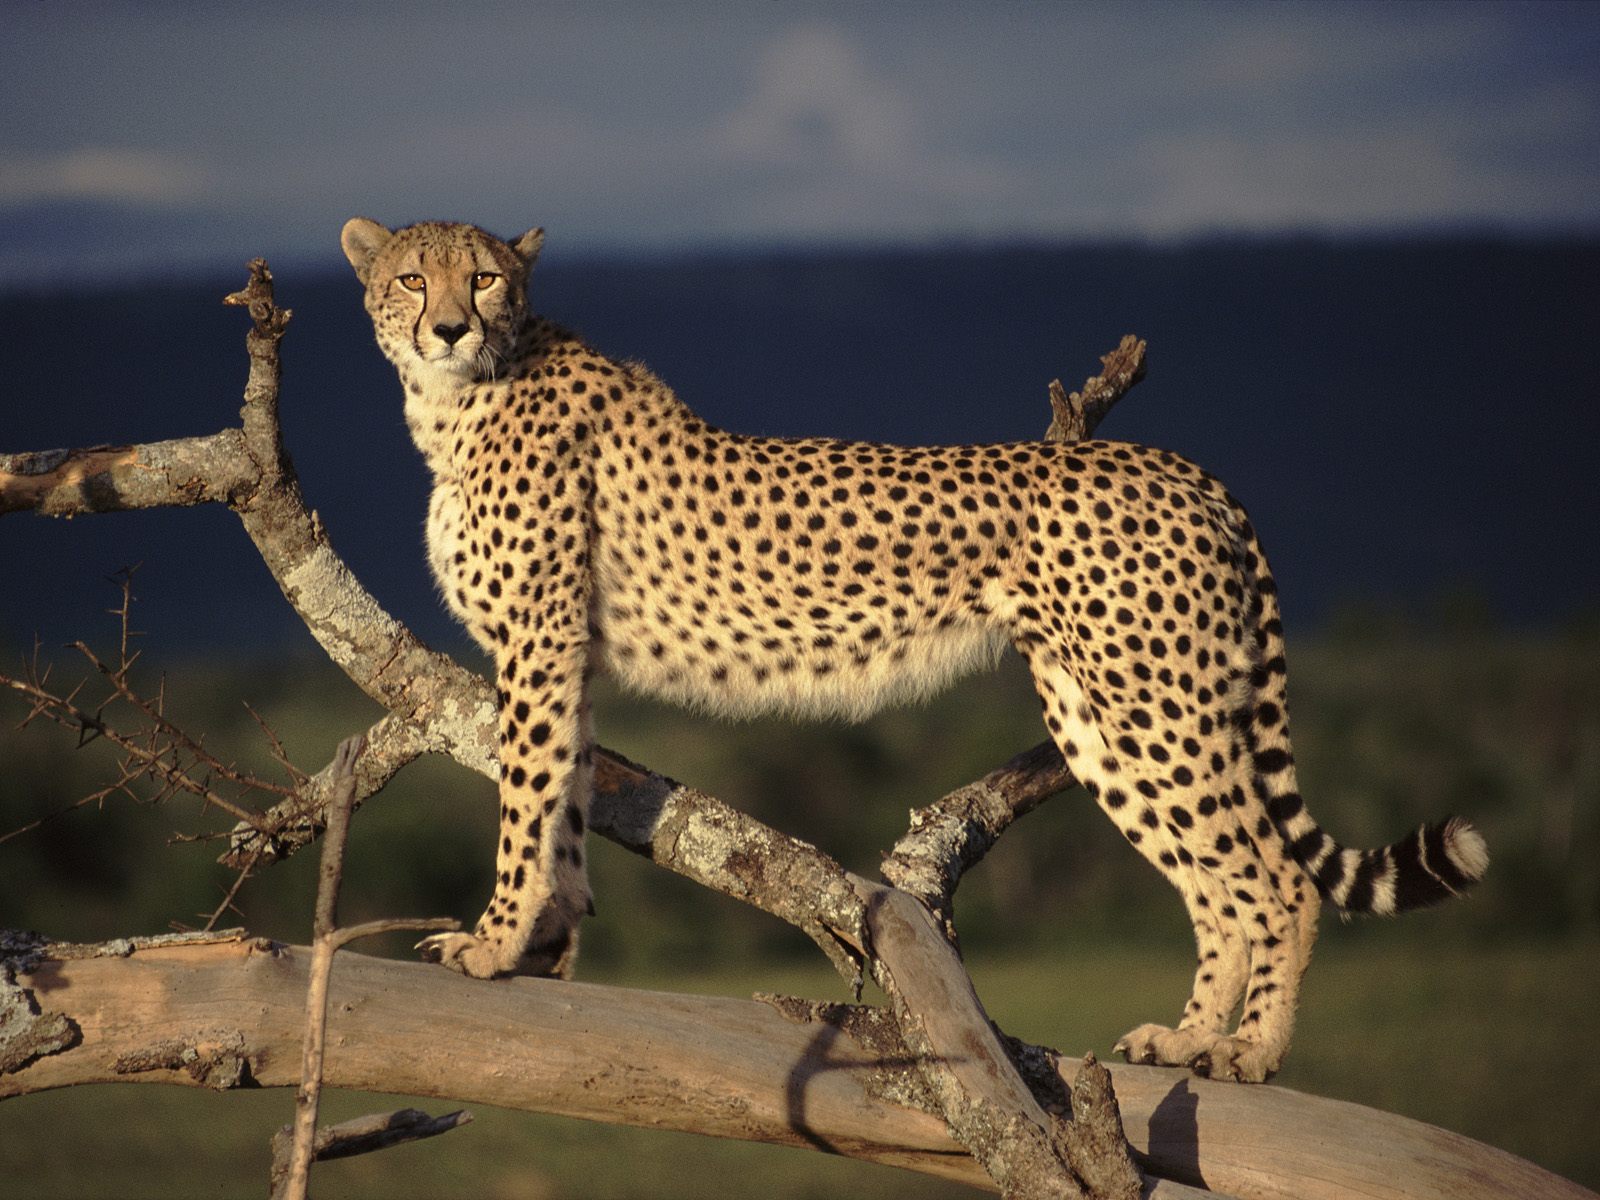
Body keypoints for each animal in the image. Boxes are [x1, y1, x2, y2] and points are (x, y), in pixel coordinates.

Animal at [340, 217, 1488, 1083]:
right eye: (412, 278)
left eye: (484, 277)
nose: (448, 327)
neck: (464, 397)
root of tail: (1179, 464)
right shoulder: (566, 653)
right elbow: (564, 799)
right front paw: (541, 947)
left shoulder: (537, 643)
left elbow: (525, 798)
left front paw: (493, 943)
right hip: (1102, 720)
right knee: (1217, 888)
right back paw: (1189, 1037)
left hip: (1156, 705)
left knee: (1275, 882)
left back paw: (1250, 1054)